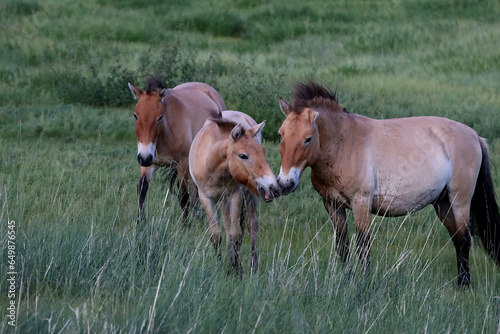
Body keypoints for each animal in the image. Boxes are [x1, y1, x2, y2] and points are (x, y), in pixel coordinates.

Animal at [128, 78, 226, 224]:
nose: (144, 157)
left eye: (160, 117)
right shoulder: (148, 164)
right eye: (135, 116)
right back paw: (196, 214)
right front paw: (140, 221)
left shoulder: (182, 164)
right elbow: (142, 188)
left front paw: (185, 225)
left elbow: (183, 195)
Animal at [189, 111, 282, 272]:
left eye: (263, 152)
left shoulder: (235, 196)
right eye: (243, 156)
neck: (210, 163)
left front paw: (236, 270)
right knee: (228, 228)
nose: (273, 188)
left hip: (249, 197)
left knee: (251, 227)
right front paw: (222, 266)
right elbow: (217, 235)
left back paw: (253, 266)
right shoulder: (206, 198)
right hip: (222, 201)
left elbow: (236, 234)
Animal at [278, 80, 500, 288]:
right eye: (281, 135)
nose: (285, 183)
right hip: (443, 203)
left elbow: (363, 244)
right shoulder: (332, 205)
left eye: (308, 139)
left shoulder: (361, 203)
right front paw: (346, 278)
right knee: (457, 238)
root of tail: (475, 136)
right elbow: (342, 245)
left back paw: (463, 285)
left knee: (464, 238)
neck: (344, 144)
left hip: (460, 200)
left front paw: (364, 281)